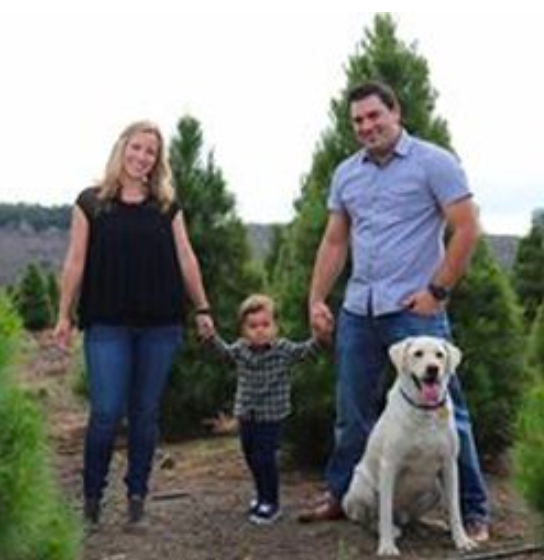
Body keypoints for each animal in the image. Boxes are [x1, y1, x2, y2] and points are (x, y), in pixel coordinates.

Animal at [344, 336, 476, 556]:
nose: (433, 369)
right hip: (361, 488)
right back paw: (387, 530)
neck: (425, 411)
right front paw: (387, 546)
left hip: (435, 490)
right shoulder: (389, 465)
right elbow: (385, 511)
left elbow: (454, 508)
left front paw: (462, 540)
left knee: (411, 518)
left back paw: (430, 524)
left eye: (439, 355)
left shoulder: (449, 464)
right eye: (418, 354)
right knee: (371, 518)